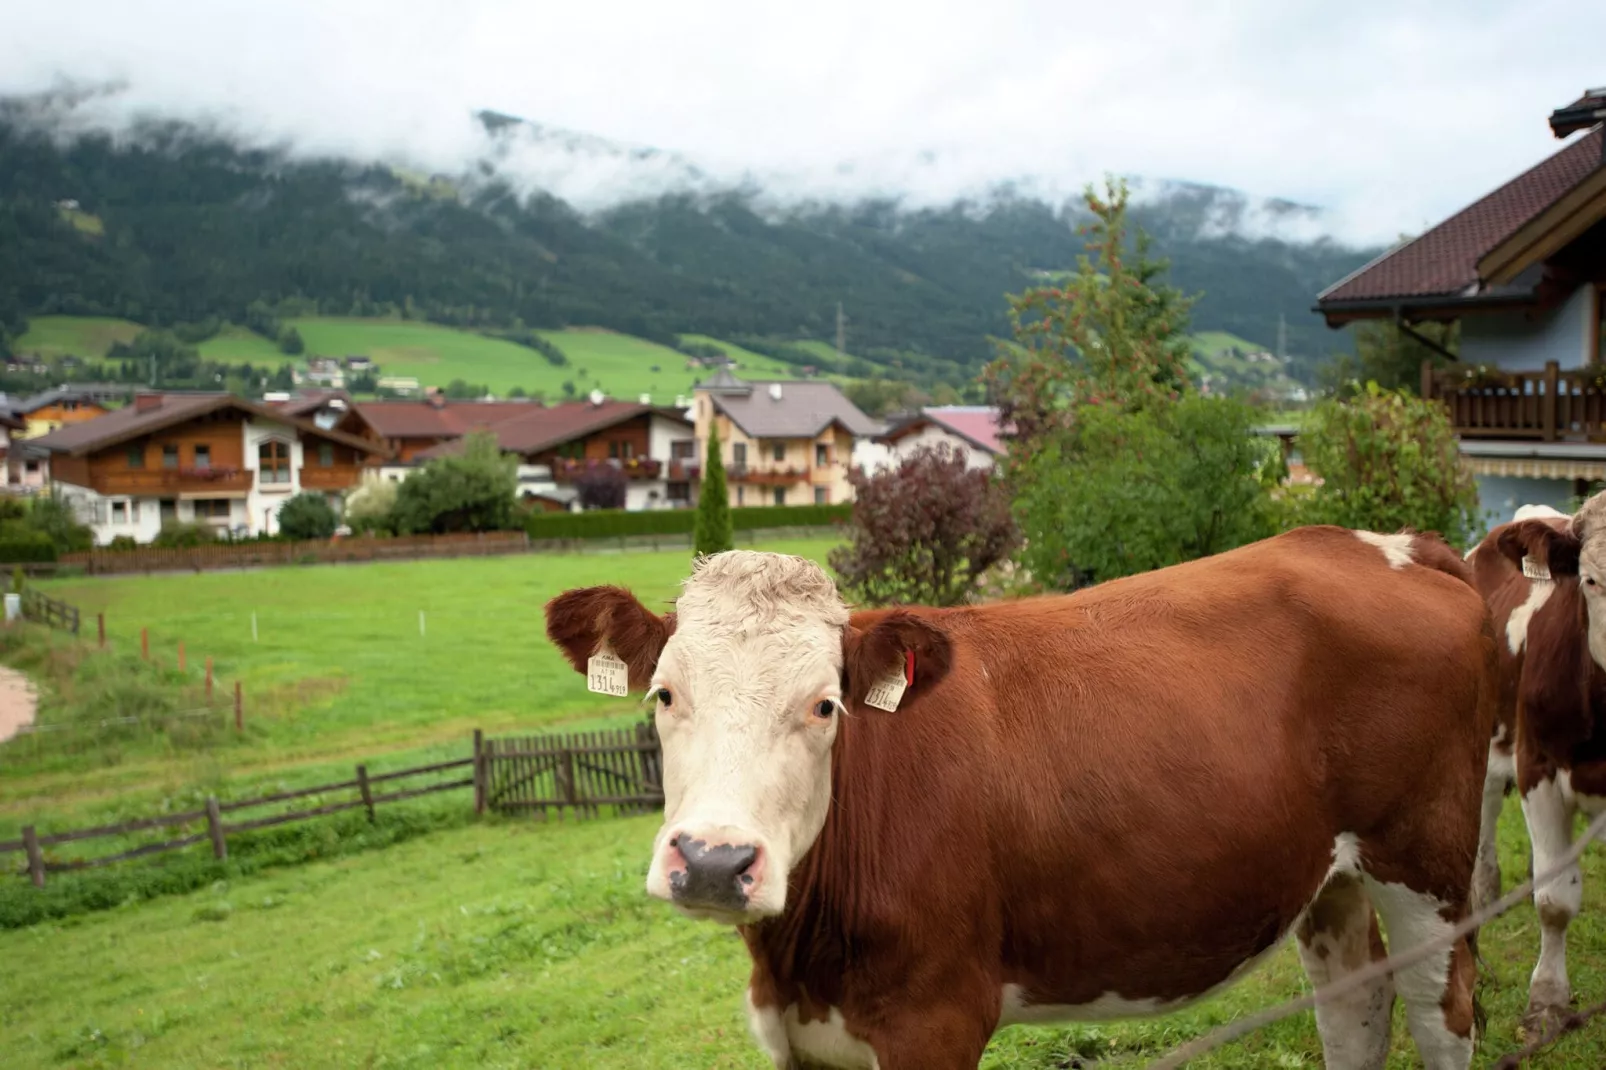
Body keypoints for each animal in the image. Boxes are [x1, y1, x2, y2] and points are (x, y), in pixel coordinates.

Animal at [549, 523, 1490, 1066]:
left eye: (824, 705)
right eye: (664, 694)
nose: (713, 862)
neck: (800, 962)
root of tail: (1386, 543)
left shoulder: (933, 1020)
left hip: (1423, 854)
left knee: (1440, 1009)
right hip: (1328, 875)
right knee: (1355, 1002)